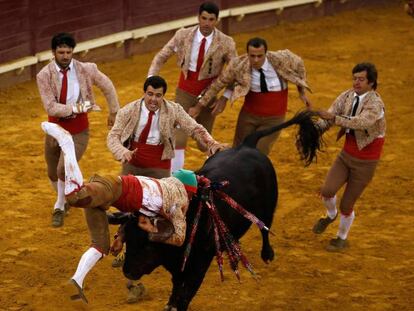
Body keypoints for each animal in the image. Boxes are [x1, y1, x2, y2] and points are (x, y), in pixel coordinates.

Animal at [115, 111, 322, 310]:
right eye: (128, 240)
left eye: (147, 245)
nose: (127, 271)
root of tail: (247, 145)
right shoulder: (179, 265)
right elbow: (176, 288)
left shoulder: (199, 264)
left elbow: (185, 294)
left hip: (268, 205)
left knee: (265, 228)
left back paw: (267, 255)